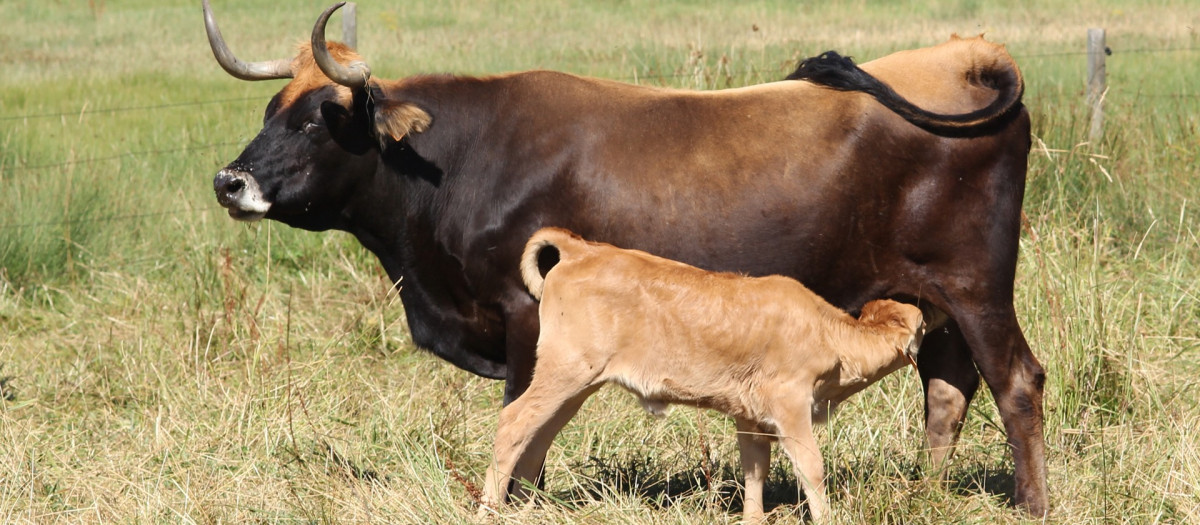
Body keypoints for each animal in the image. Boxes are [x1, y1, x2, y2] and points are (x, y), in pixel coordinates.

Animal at [202, 1, 1047, 515]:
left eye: (322, 116)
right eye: (270, 108)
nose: (229, 180)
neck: (460, 160)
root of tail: (966, 54)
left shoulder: (525, 324)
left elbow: (526, 432)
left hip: (978, 286)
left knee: (1015, 383)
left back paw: (1033, 504)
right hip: (936, 300)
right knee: (947, 388)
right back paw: (925, 496)